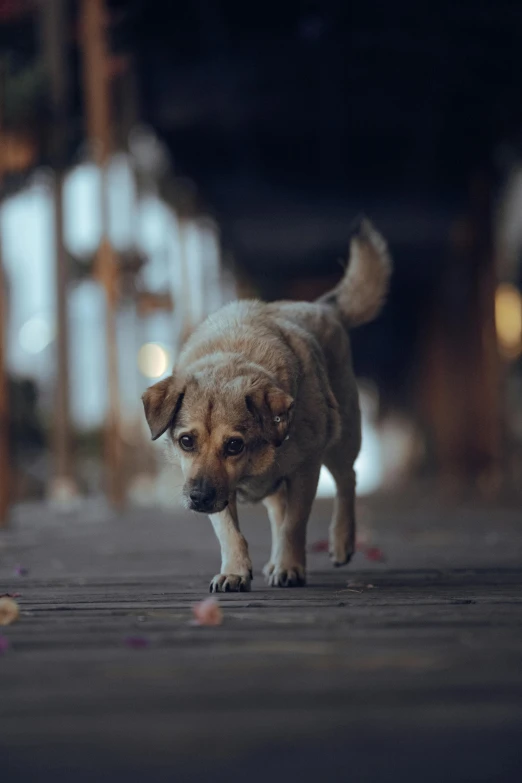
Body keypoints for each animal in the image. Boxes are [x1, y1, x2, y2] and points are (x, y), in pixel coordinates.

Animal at [142, 217, 390, 592]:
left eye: (234, 445)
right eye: (186, 441)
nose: (198, 498)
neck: (232, 357)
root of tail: (323, 306)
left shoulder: (305, 471)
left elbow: (294, 525)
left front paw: (290, 567)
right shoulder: (220, 491)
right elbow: (230, 532)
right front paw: (235, 570)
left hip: (343, 437)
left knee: (347, 479)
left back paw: (341, 541)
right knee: (278, 510)